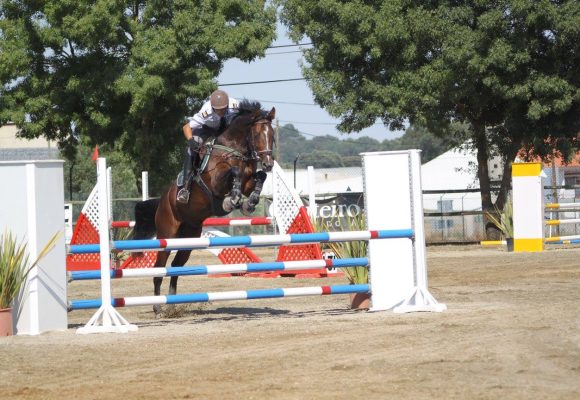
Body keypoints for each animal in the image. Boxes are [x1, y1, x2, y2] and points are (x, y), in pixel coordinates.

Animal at [133, 101, 276, 316]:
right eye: (258, 134)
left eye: (272, 135)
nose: (268, 164)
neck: (234, 149)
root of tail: (162, 201)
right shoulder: (216, 182)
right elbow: (234, 172)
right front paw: (232, 200)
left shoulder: (248, 181)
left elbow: (259, 178)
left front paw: (248, 203)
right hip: (167, 234)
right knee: (160, 266)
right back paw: (158, 306)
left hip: (189, 237)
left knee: (175, 267)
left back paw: (172, 304)